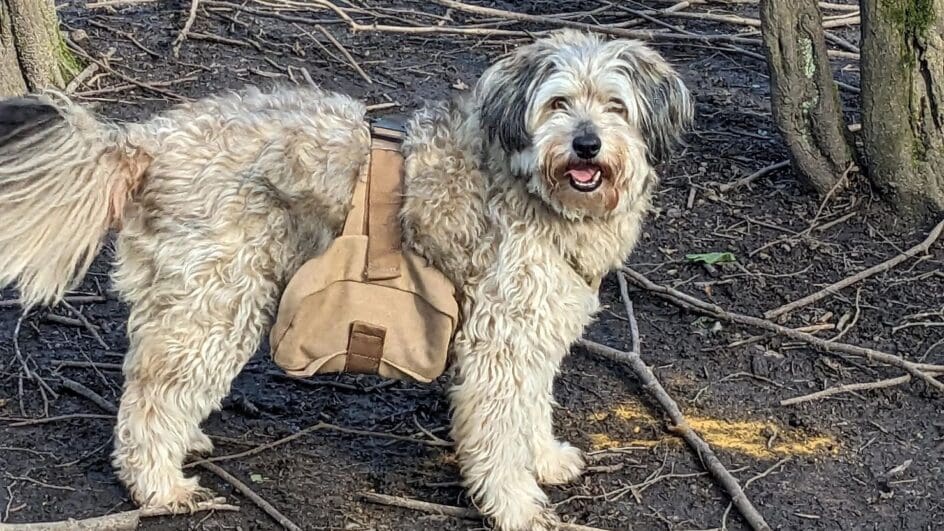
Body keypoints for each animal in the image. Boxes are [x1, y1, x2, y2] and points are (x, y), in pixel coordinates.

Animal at [0, 30, 688, 531]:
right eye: (557, 103)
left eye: (616, 106)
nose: (587, 144)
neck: (532, 184)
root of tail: (149, 140)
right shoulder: (501, 337)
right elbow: (498, 426)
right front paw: (516, 505)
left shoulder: (538, 327)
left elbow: (533, 406)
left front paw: (543, 458)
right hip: (220, 300)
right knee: (150, 396)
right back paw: (159, 485)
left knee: (156, 375)